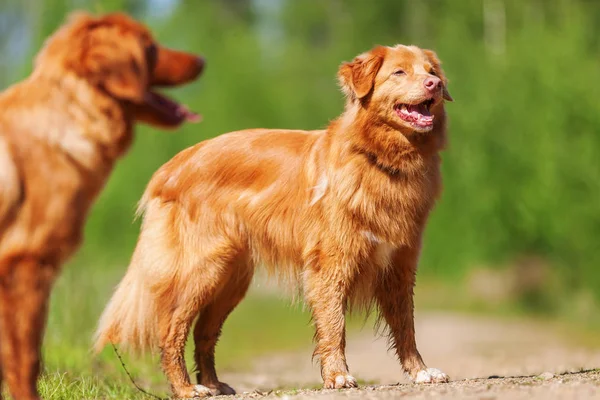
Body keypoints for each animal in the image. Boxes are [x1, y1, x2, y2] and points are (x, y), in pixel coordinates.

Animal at [95, 43, 450, 396]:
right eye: (399, 72)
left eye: (431, 72)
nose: (434, 85)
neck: (381, 160)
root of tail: (170, 166)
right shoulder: (331, 265)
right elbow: (335, 326)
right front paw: (337, 376)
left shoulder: (400, 265)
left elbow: (406, 327)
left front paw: (420, 372)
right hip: (201, 269)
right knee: (171, 330)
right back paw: (186, 388)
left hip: (231, 279)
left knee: (203, 333)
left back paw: (213, 382)